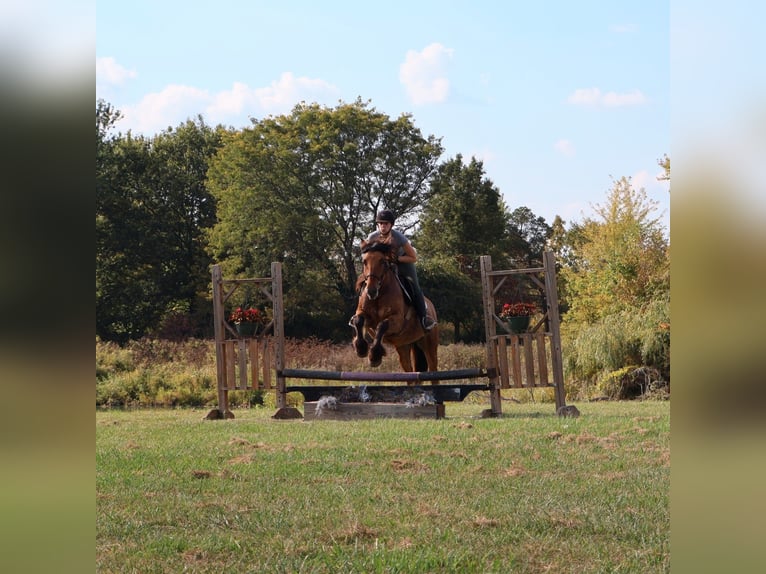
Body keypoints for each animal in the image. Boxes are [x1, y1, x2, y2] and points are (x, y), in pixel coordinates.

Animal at [349, 240, 439, 382]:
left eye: (383, 261)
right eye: (364, 261)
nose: (371, 291)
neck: (380, 293)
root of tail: (431, 307)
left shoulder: (397, 321)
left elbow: (382, 325)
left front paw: (374, 356)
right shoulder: (365, 315)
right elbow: (358, 320)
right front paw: (361, 348)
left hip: (429, 345)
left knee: (433, 371)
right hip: (403, 346)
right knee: (410, 374)